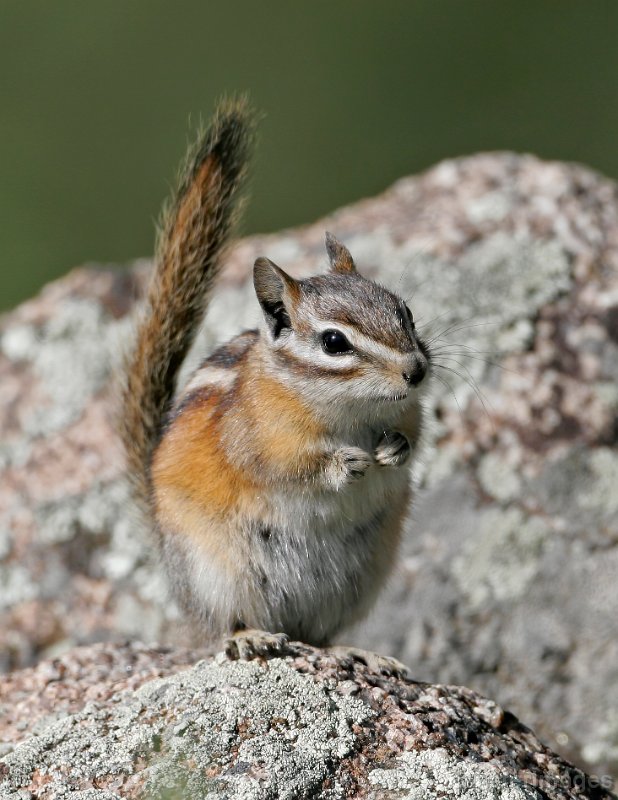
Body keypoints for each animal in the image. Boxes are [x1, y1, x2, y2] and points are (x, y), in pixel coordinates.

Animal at [121, 98, 429, 663]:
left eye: (405, 312)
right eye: (334, 343)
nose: (416, 370)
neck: (349, 412)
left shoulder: (409, 409)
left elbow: (413, 435)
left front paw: (394, 448)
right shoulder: (259, 438)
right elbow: (287, 464)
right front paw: (346, 463)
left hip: (360, 578)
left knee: (321, 636)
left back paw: (356, 652)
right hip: (219, 573)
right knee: (226, 625)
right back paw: (252, 636)